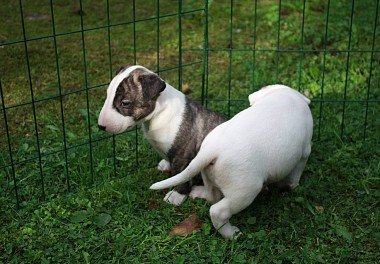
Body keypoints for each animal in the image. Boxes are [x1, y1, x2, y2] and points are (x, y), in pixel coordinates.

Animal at [150, 85, 314, 239]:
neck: (285, 95)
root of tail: (212, 149)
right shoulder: (305, 152)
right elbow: (296, 174)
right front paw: (291, 186)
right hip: (244, 191)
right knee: (217, 211)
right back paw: (231, 234)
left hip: (208, 175)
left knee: (212, 197)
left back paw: (198, 192)